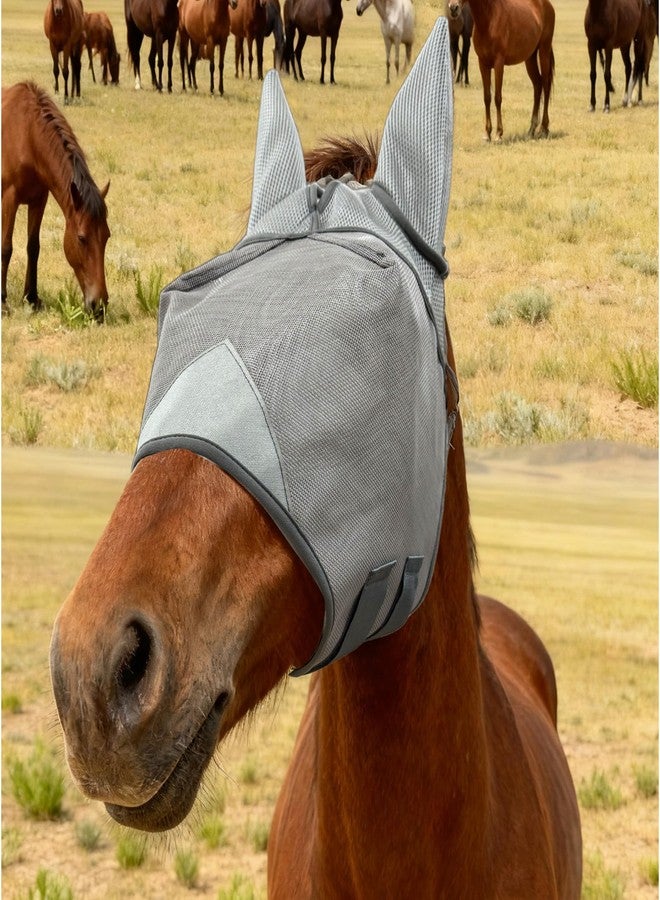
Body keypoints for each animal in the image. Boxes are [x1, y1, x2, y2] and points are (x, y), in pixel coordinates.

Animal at [2, 82, 110, 318]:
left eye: (107, 236)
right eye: (81, 238)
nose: (99, 306)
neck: (27, 134)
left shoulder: (39, 199)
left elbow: (33, 247)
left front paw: (31, 298)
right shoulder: (9, 199)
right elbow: (6, 248)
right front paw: (3, 301)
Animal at [448, 0, 555, 140]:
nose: (453, 8)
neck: (489, 19)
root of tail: (547, 5)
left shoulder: (499, 64)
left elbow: (497, 97)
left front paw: (499, 133)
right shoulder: (483, 64)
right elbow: (487, 97)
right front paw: (487, 133)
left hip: (544, 51)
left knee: (546, 87)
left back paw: (543, 129)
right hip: (530, 58)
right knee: (538, 86)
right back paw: (531, 130)